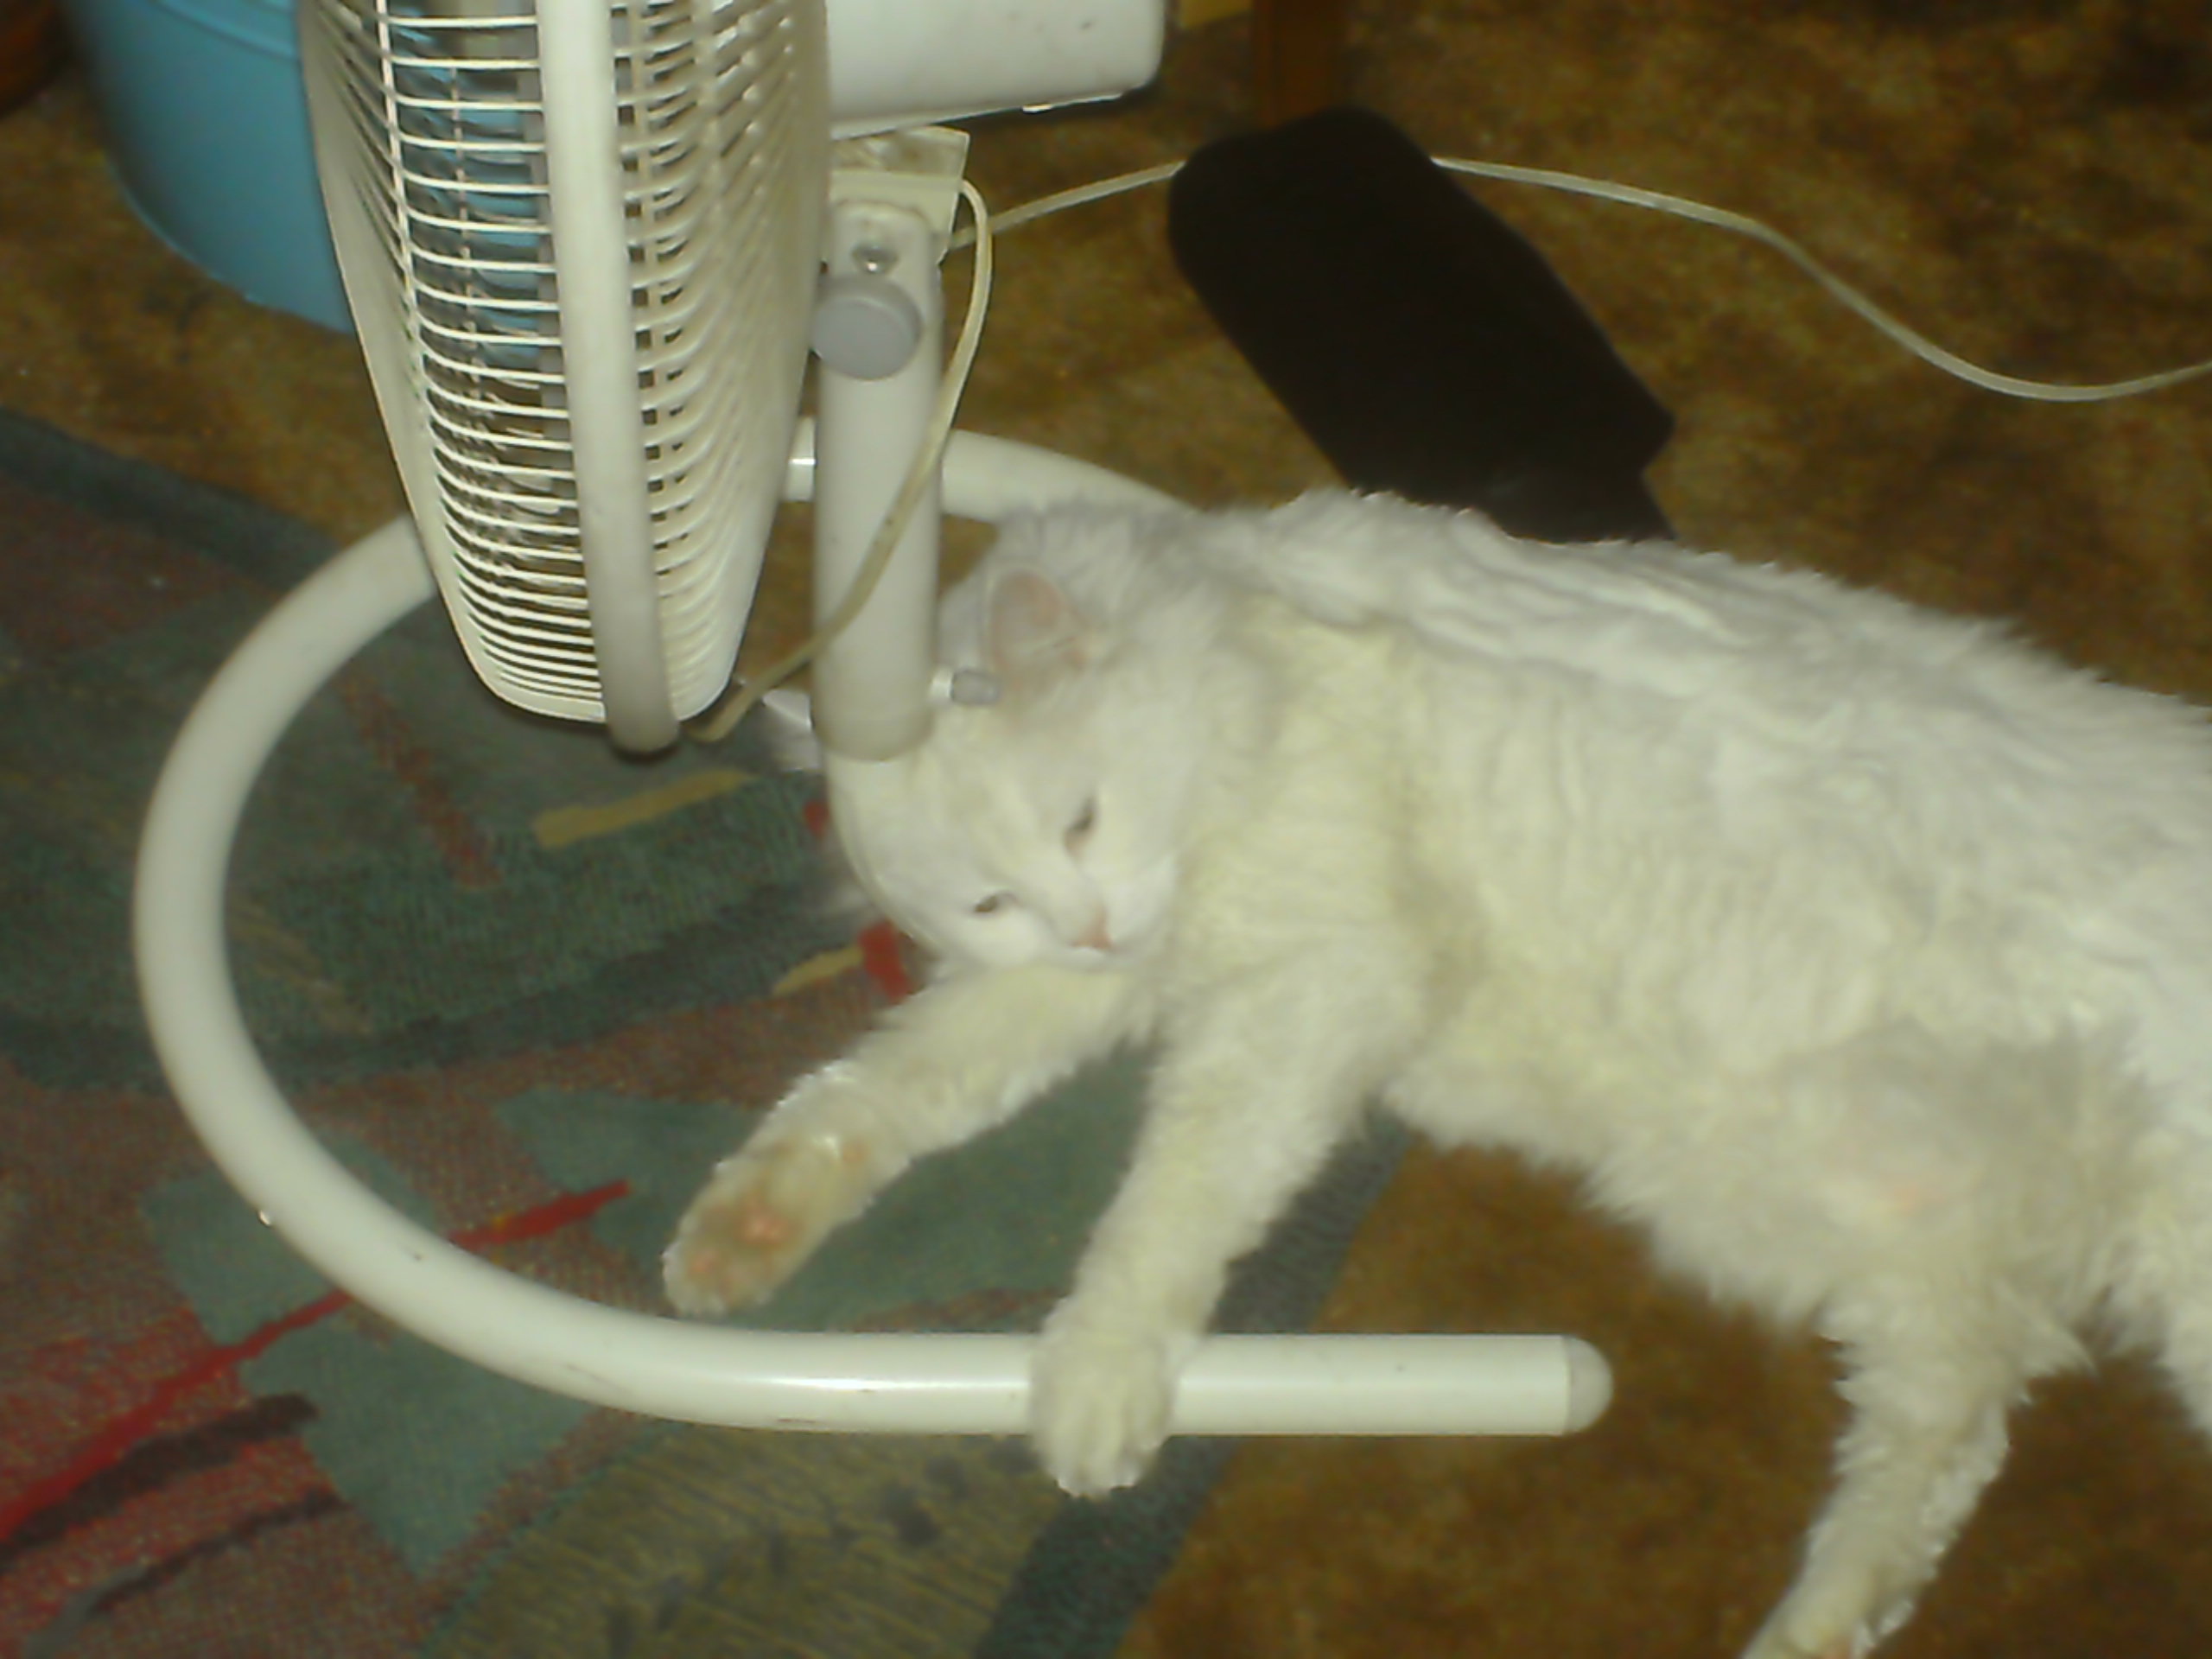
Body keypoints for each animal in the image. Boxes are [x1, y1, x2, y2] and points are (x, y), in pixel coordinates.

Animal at [664, 489, 2212, 1659]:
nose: (1093, 922)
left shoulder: (1311, 993)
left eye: (1083, 818)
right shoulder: (1074, 986)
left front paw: (1096, 1380)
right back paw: (1810, 1632)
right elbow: (874, 1097)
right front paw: (739, 1235)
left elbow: (1166, 1207)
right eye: (988, 899)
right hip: (1913, 1295)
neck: (1238, 668)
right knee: (1942, 1460)